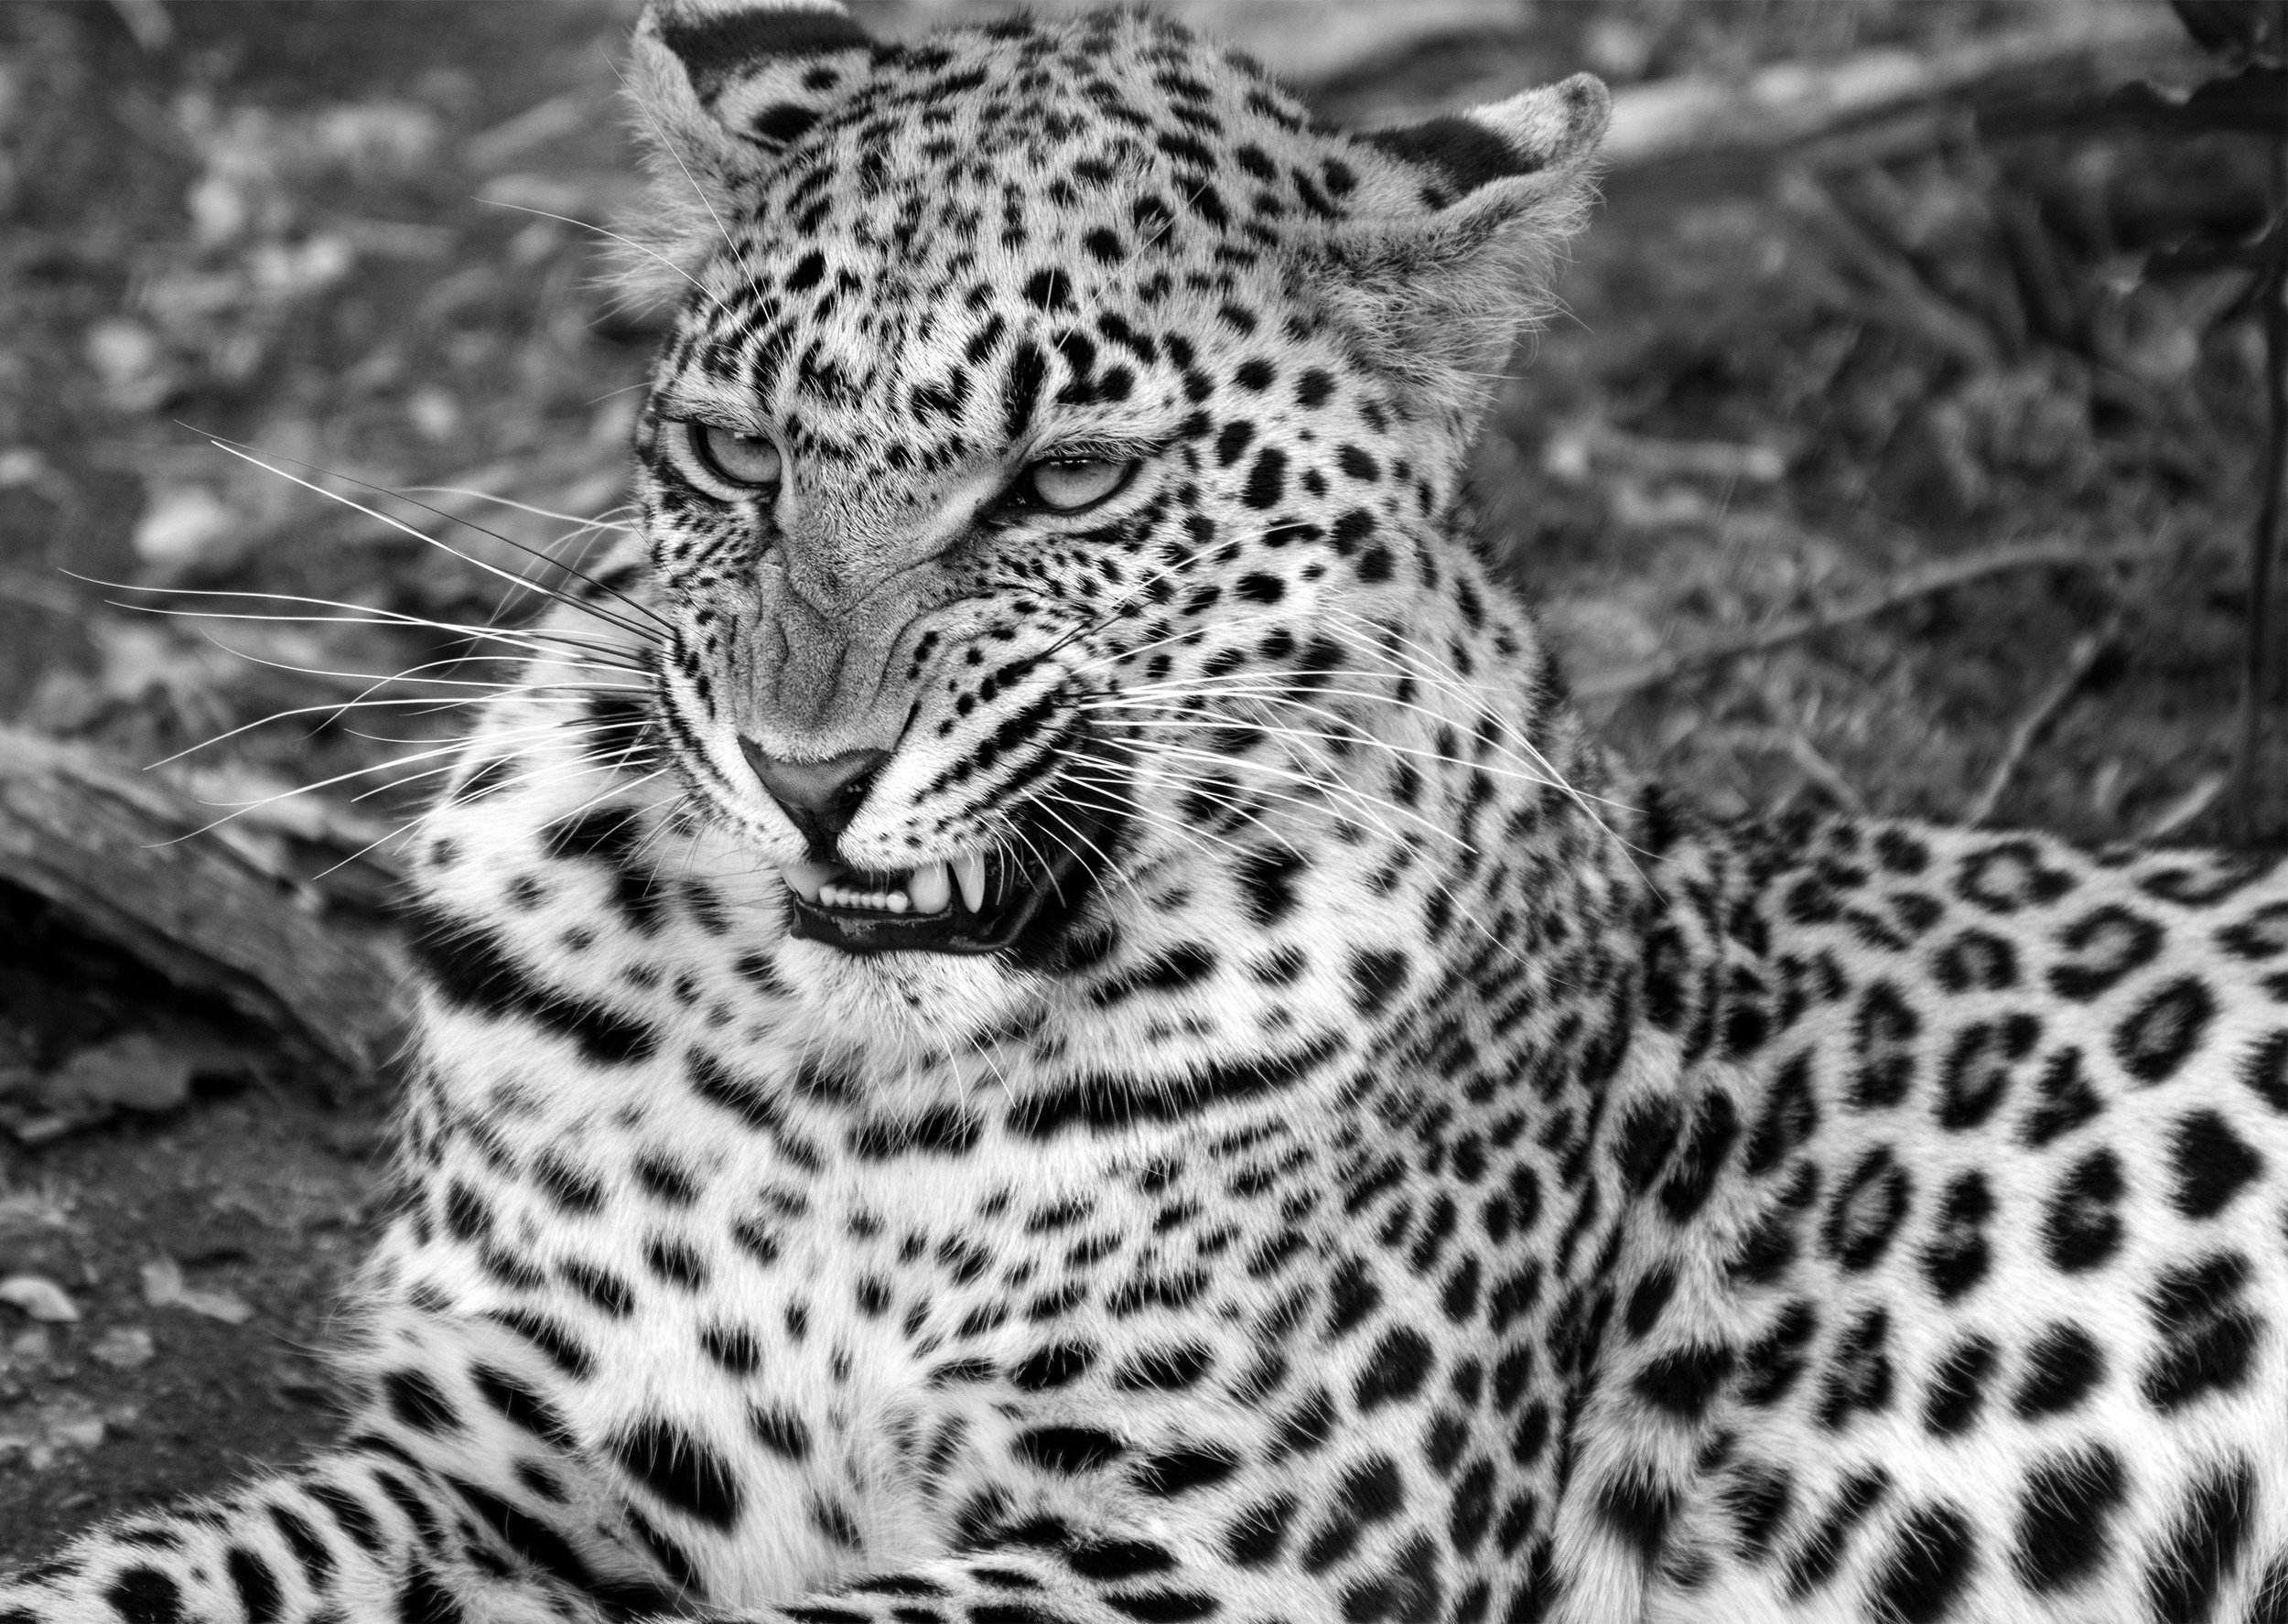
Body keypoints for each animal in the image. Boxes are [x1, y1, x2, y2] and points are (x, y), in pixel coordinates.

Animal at [6, 2, 2288, 1622]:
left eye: (1073, 481)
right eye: (737, 455)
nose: (803, 772)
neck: (846, 1095)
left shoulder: (1229, 1546)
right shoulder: (530, 1463)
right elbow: (165, 1560)